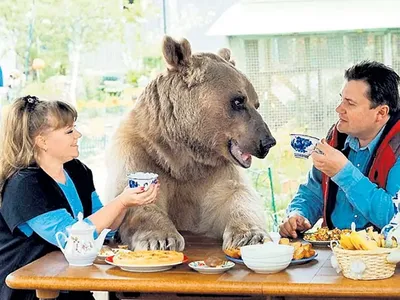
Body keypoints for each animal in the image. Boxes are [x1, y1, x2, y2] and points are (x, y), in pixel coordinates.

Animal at [104, 35, 276, 251]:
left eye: (256, 103)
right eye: (238, 101)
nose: (268, 142)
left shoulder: (214, 172)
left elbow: (236, 196)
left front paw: (250, 236)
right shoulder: (140, 153)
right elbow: (138, 199)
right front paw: (161, 239)